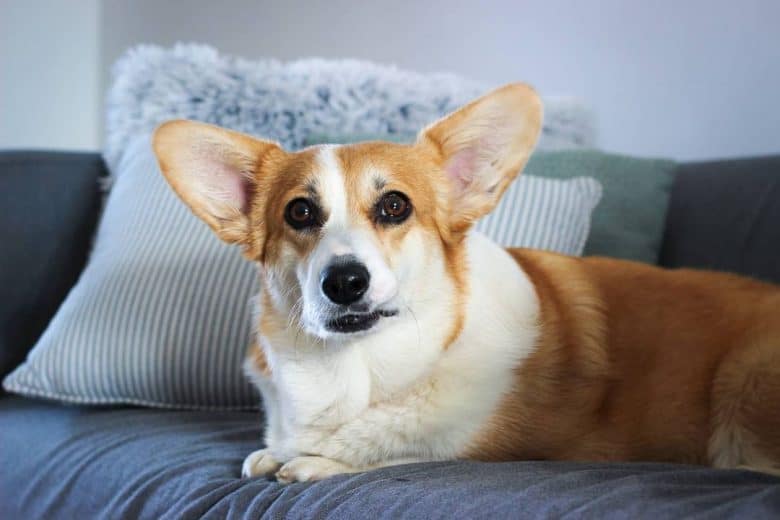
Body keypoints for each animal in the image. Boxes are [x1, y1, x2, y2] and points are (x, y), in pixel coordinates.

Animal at [152, 82, 780, 484]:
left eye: (395, 205)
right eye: (300, 212)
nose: (345, 281)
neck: (357, 372)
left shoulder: (494, 448)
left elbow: (413, 454)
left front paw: (314, 462)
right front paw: (275, 454)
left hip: (747, 379)